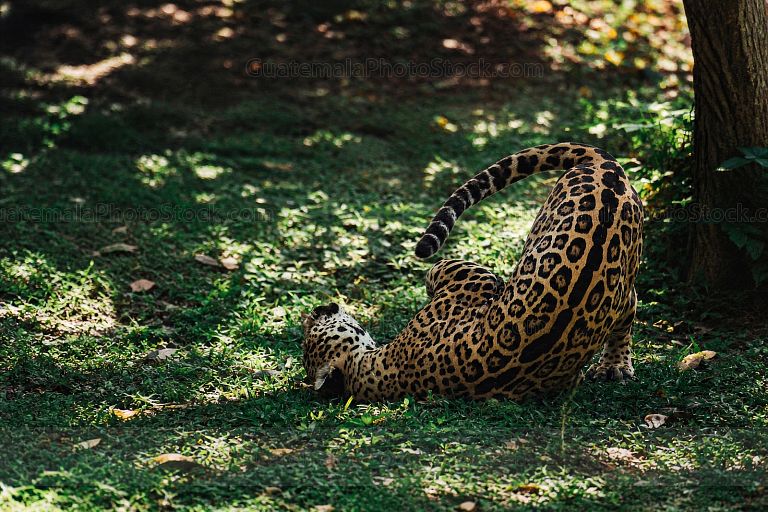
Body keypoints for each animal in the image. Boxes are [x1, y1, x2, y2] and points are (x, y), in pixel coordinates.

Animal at [301, 142, 643, 401]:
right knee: (630, 301)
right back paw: (615, 364)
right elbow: (443, 270)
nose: (320, 309)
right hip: (611, 263)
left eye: (310, 334)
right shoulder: (473, 278)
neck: (373, 372)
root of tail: (602, 165)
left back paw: (613, 366)